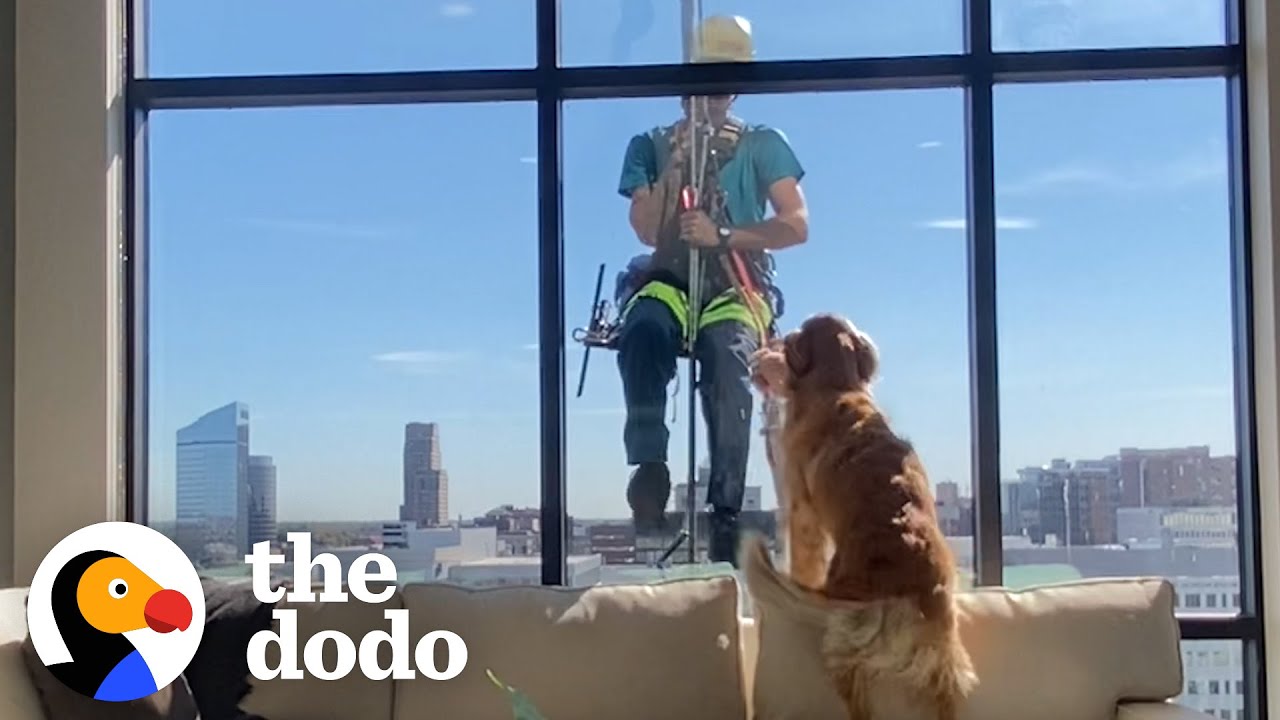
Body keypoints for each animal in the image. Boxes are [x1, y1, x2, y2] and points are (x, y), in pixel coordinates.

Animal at [747, 312, 972, 717]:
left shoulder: (801, 508)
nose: (759, 355)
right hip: (945, 657)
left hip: (845, 640)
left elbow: (804, 558)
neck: (837, 384)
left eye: (784, 344)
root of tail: (911, 592)